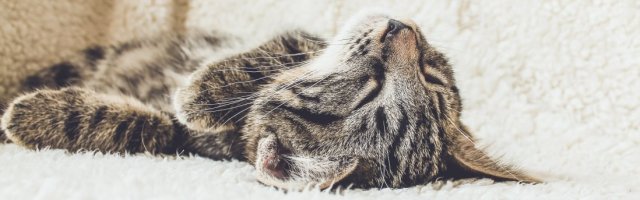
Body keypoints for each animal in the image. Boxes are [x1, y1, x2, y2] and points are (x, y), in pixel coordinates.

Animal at [0, 12, 540, 189]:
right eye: (432, 75)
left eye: (372, 88)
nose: (398, 27)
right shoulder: (298, 38)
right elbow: (271, 53)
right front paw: (201, 91)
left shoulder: (183, 141)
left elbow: (148, 127)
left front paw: (32, 117)